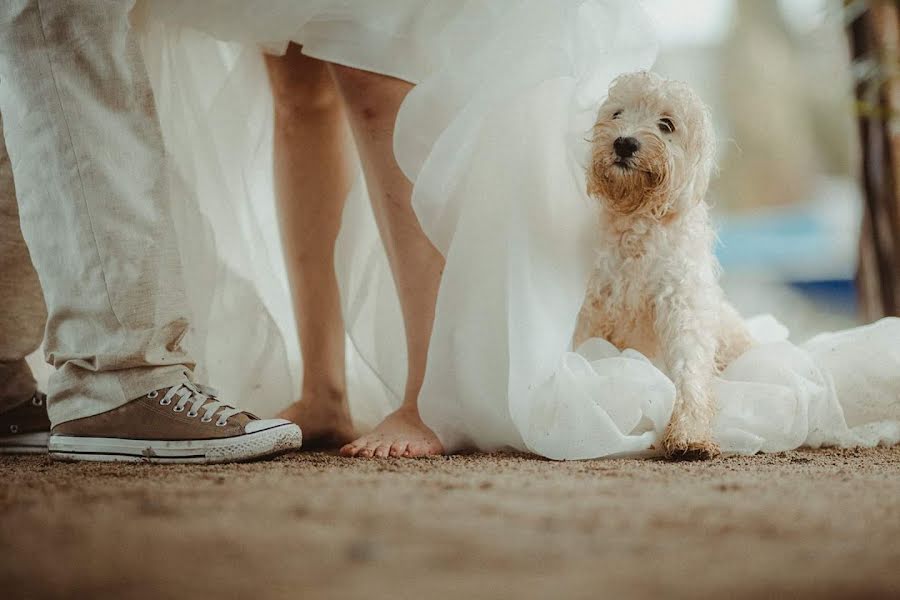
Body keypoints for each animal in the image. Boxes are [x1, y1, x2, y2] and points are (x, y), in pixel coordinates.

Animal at [572, 72, 756, 462]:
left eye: (666, 124)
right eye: (617, 114)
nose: (624, 143)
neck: (639, 225)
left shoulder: (683, 305)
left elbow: (689, 374)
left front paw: (689, 435)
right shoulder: (594, 311)